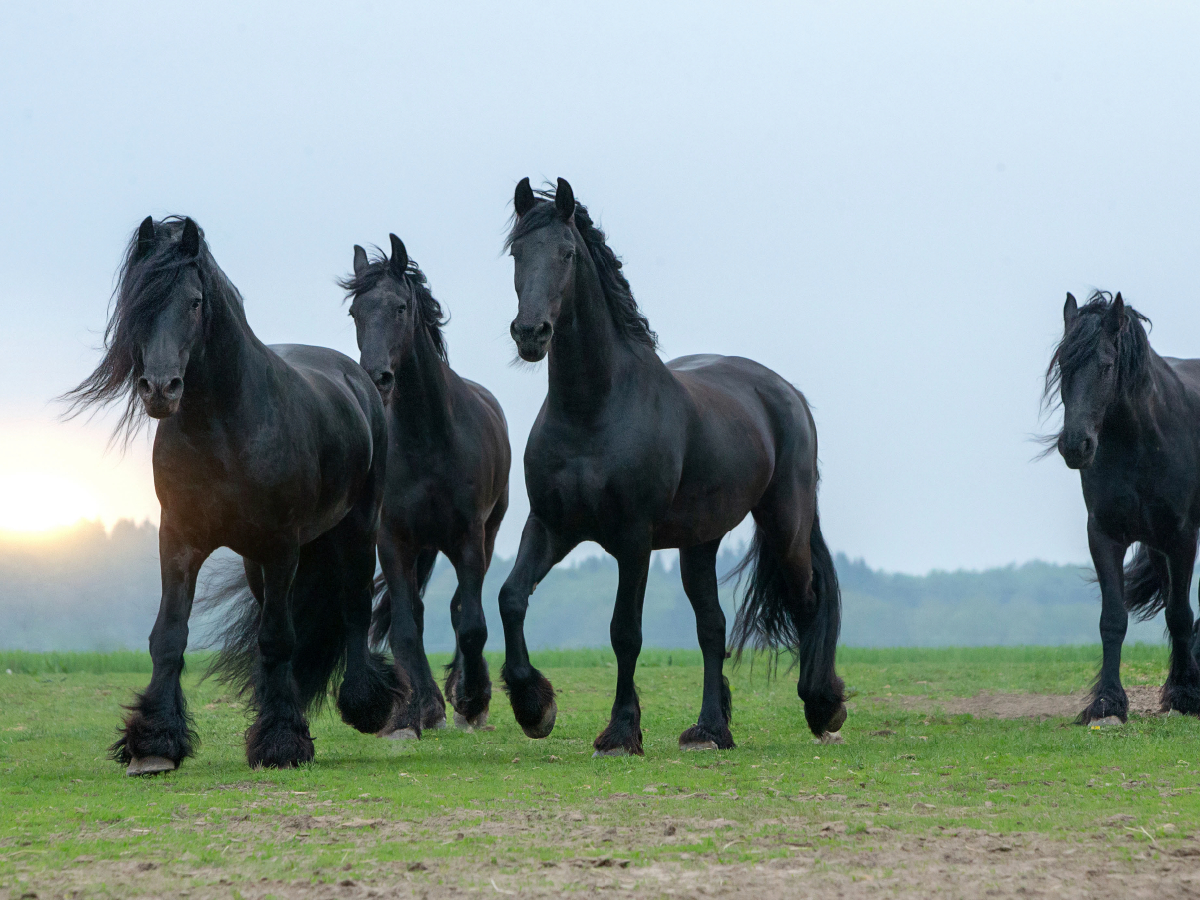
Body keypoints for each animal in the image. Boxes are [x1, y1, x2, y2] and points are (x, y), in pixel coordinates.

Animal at [64, 218, 403, 777]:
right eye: (137, 303)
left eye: (195, 302)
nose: (160, 389)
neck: (222, 427)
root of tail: (358, 380)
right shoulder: (179, 540)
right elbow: (170, 635)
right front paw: (154, 742)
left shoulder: (282, 546)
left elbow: (279, 637)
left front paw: (282, 741)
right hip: (254, 561)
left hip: (356, 527)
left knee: (353, 605)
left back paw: (364, 704)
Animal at [340, 236, 508, 734]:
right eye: (355, 312)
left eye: (399, 307)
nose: (377, 376)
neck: (427, 438)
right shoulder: (393, 540)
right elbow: (405, 626)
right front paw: (420, 709)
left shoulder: (469, 537)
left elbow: (471, 623)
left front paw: (471, 698)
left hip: (486, 535)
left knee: (459, 609)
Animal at [494, 177, 844, 753]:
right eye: (517, 253)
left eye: (567, 253)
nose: (531, 334)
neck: (593, 411)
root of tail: (786, 392)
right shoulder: (550, 526)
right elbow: (512, 598)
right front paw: (533, 707)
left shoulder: (633, 540)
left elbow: (625, 633)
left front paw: (619, 731)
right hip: (698, 543)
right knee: (712, 626)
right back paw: (710, 729)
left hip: (785, 522)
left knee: (809, 597)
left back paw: (823, 706)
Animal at [1041, 290, 1200, 724]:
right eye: (1063, 366)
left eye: (1107, 365)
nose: (1075, 445)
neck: (1141, 444)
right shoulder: (1105, 534)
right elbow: (1112, 619)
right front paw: (1107, 702)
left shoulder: (1183, 537)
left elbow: (1180, 615)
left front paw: (1187, 696)